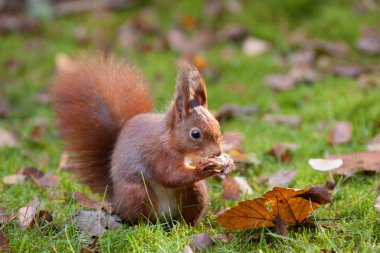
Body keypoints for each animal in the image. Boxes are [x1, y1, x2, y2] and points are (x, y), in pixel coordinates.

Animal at [51, 55, 233, 225]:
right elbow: (170, 176)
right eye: (195, 134)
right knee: (139, 217)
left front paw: (228, 163)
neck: (173, 142)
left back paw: (186, 226)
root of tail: (116, 198)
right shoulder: (160, 154)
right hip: (138, 193)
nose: (217, 152)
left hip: (195, 193)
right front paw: (203, 169)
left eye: (217, 125)